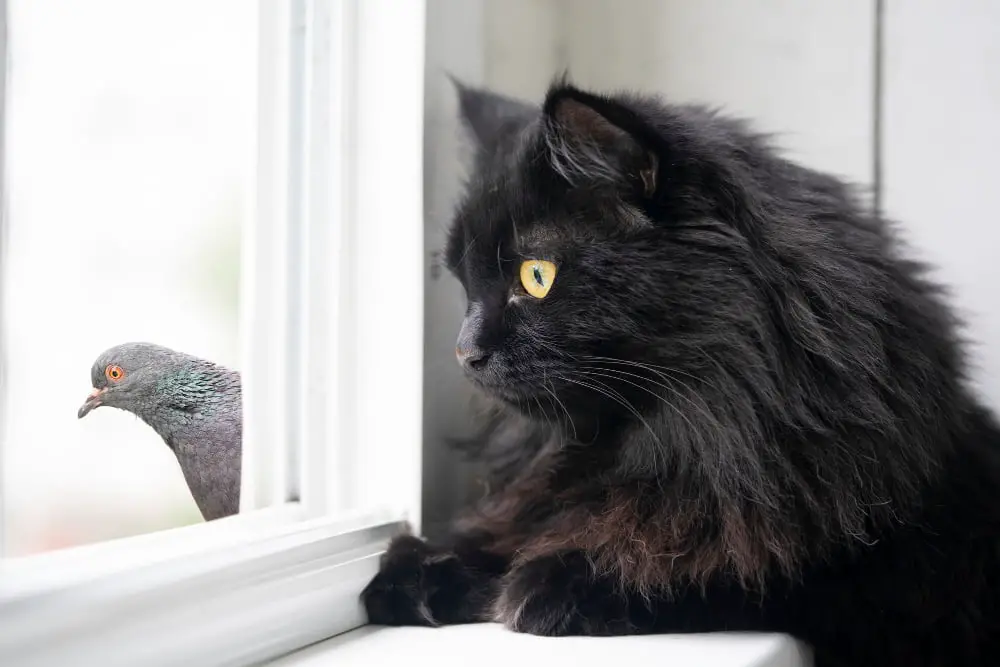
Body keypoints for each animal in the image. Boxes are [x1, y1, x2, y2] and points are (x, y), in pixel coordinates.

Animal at [364, 79, 1000, 667]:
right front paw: (420, 571)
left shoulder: (876, 577)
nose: (463, 352)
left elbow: (728, 567)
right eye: (464, 284)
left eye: (536, 276)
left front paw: (566, 580)